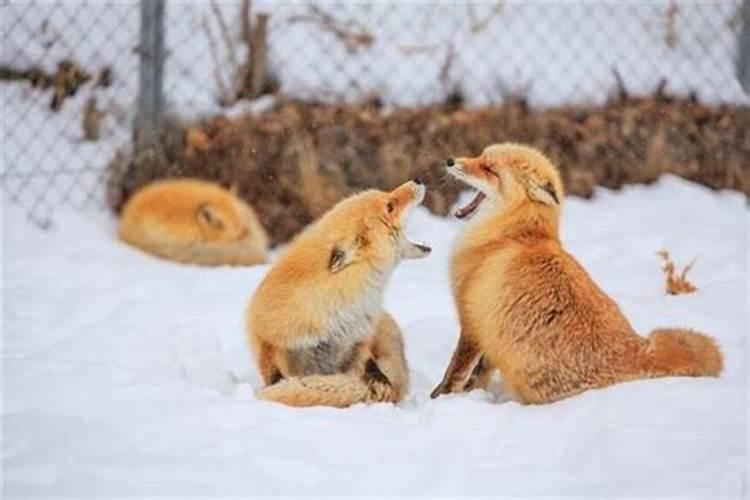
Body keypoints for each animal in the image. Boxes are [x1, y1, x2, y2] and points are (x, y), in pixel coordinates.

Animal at [248, 180, 432, 406]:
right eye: (390, 206)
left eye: (388, 198)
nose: (418, 181)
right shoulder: (270, 342)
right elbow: (274, 376)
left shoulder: (358, 340)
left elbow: (369, 365)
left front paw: (379, 382)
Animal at [432, 143, 724, 404]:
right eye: (480, 156)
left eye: (489, 168)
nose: (449, 160)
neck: (515, 234)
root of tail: (637, 352)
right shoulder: (490, 330)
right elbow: (478, 374)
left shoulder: (471, 320)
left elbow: (455, 373)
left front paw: (439, 399)